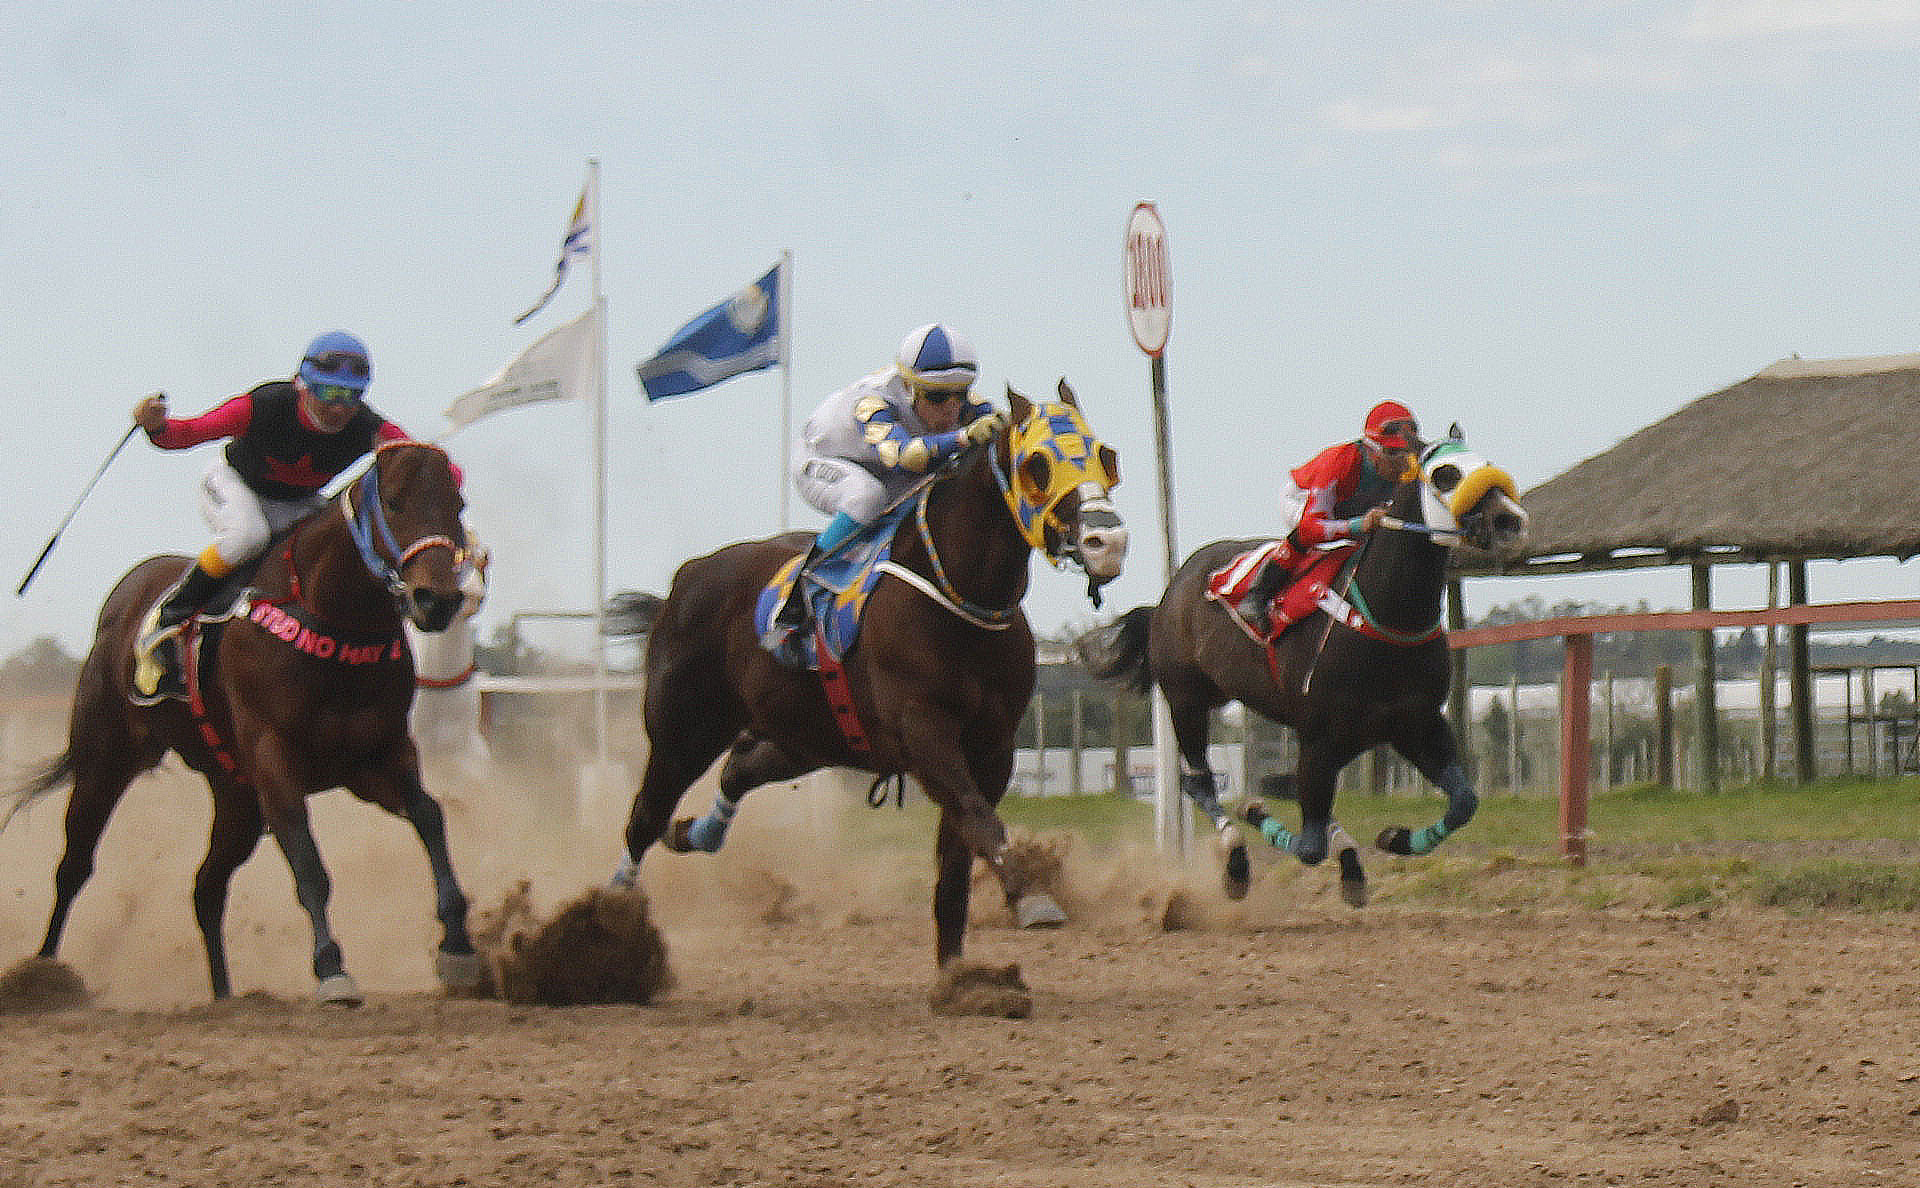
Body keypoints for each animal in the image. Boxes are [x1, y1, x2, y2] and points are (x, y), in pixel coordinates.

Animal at [3, 441, 483, 1005]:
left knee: (206, 889)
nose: (438, 600)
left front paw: (458, 945)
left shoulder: (378, 756)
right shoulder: (275, 759)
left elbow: (430, 816)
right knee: (75, 864)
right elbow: (308, 859)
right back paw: (43, 973)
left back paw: (224, 994)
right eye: (394, 503)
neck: (333, 623)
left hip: (235, 796)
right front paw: (331, 968)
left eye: (457, 505)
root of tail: (128, 592)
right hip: (107, 757)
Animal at [610, 380, 1127, 976]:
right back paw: (610, 912)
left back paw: (692, 834)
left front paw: (959, 975)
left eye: (1106, 457)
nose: (1107, 542)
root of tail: (687, 577)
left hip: (806, 736)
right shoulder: (925, 733)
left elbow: (957, 857)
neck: (956, 593)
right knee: (644, 819)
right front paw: (1035, 898)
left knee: (738, 769)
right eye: (1037, 464)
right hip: (682, 731)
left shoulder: (993, 746)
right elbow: (979, 819)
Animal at [1095, 428, 1529, 901]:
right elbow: (1308, 845)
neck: (1386, 617)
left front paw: (1392, 838)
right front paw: (1259, 812)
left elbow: (1464, 802)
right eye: (1445, 475)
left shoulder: (1416, 724)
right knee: (1199, 781)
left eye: (1488, 464)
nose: (1510, 521)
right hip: (1185, 698)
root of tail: (1168, 595)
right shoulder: (1321, 736)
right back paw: (1237, 861)